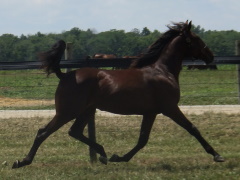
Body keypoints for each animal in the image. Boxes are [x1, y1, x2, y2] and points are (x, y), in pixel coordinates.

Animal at [12, 21, 224, 169]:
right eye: (196, 39)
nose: (211, 56)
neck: (162, 71)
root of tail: (65, 75)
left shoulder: (151, 112)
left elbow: (142, 139)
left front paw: (119, 157)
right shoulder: (170, 108)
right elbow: (193, 128)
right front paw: (217, 155)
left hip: (87, 110)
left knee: (75, 131)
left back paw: (103, 154)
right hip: (68, 111)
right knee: (43, 132)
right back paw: (22, 161)